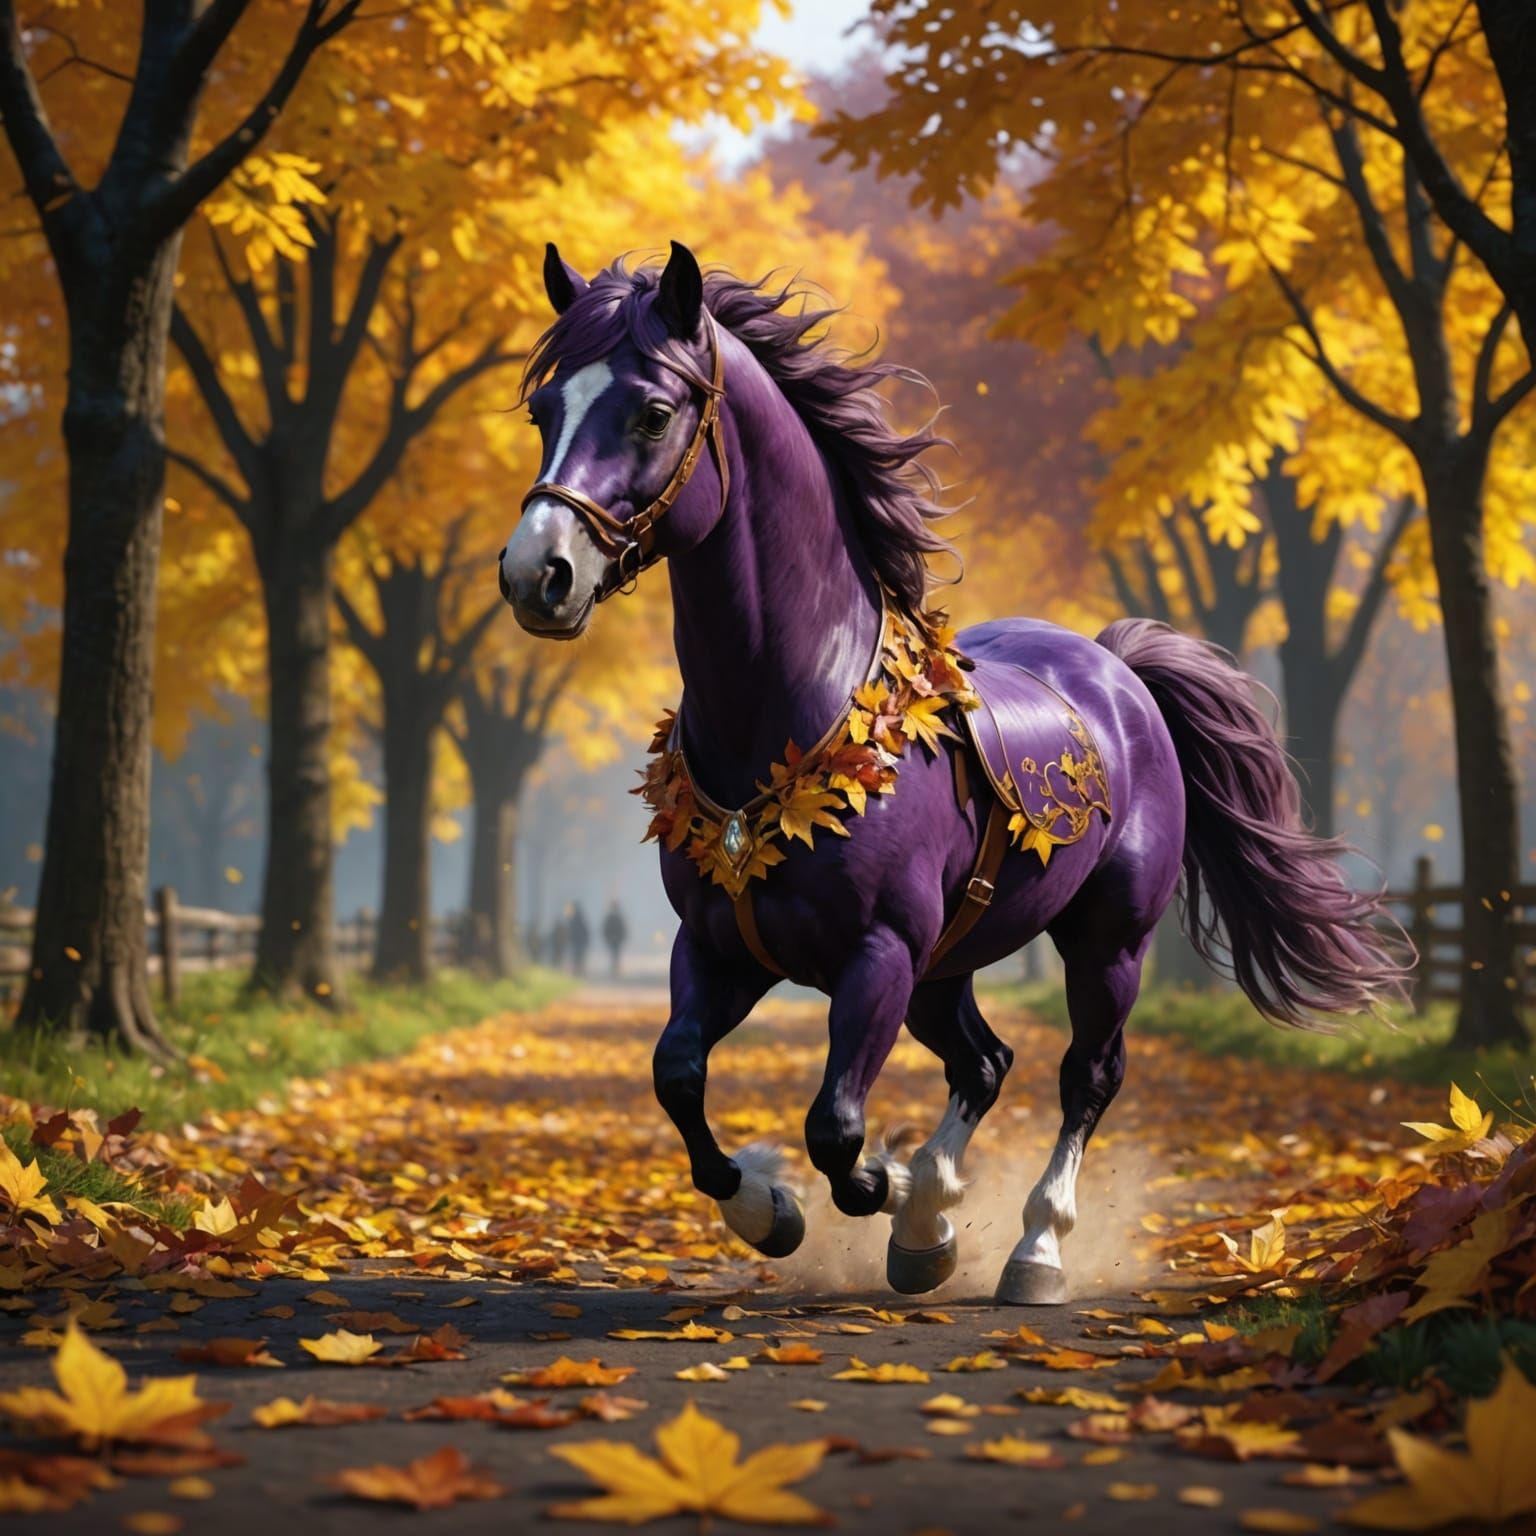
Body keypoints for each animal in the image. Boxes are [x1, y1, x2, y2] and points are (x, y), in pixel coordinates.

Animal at [498, 241, 1408, 1304]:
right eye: (542, 408)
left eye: (650, 411)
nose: (536, 575)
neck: (791, 716)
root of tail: (1117, 668)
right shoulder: (721, 947)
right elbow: (679, 1076)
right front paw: (778, 1210)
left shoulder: (878, 954)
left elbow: (837, 1129)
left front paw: (887, 1190)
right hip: (949, 964)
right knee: (985, 1062)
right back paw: (931, 1225)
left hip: (1104, 944)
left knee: (1084, 1077)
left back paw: (1030, 1250)